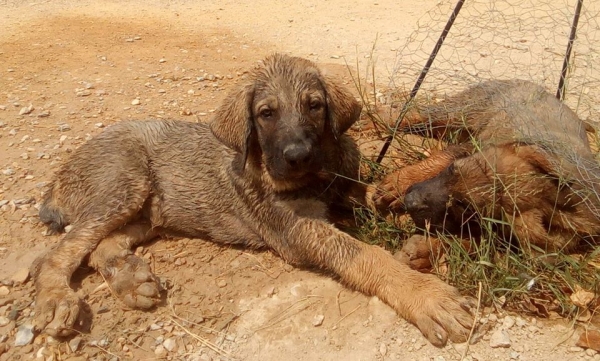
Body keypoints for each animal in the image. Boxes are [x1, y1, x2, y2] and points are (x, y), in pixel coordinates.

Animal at [32, 54, 476, 346]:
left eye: (315, 106)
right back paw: (57, 301)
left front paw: (416, 224)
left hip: (148, 211)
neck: (315, 177)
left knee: (101, 245)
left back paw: (131, 280)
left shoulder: (342, 191)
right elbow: (367, 255)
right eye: (266, 114)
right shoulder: (300, 231)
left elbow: (375, 201)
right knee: (62, 251)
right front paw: (426, 295)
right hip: (125, 181)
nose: (298, 155)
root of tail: (60, 176)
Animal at [376, 79, 600, 253]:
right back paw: (377, 118)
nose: (409, 200)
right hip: (459, 111)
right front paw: (398, 183)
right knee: (410, 113)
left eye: (465, 207)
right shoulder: (471, 147)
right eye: (453, 169)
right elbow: (439, 159)